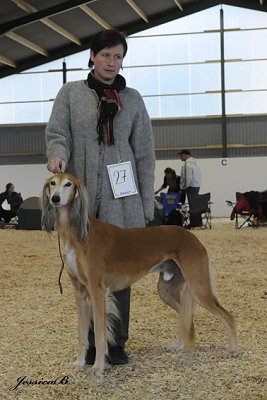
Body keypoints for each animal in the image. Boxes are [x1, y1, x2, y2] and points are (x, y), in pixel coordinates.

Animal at [41, 173, 239, 376]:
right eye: (53, 183)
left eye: (68, 184)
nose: (55, 199)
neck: (80, 234)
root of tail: (193, 237)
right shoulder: (80, 291)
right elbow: (82, 333)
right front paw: (80, 362)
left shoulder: (97, 291)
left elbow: (100, 335)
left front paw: (98, 367)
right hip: (166, 290)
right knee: (186, 316)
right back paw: (179, 345)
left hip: (199, 287)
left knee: (228, 316)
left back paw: (234, 350)